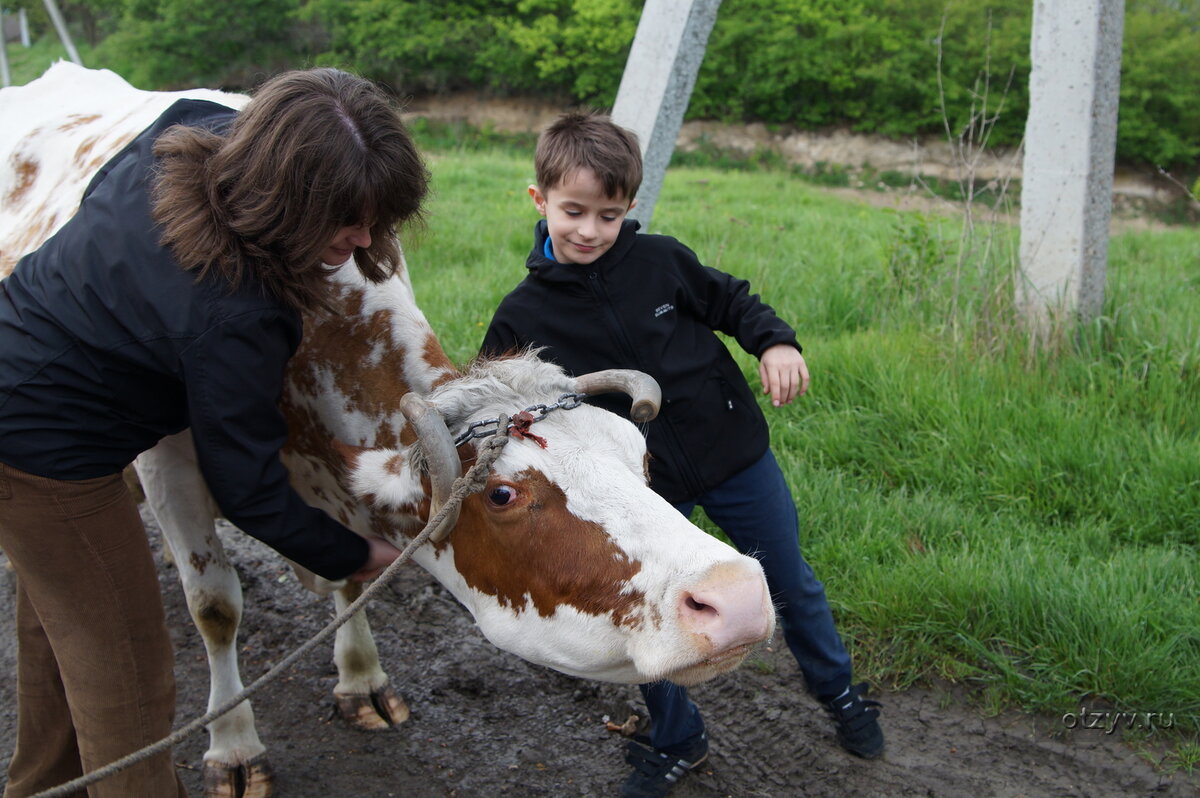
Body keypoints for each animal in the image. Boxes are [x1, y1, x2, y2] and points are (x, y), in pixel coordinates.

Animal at [0, 63, 777, 796]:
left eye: (641, 460)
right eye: (501, 495)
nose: (737, 595)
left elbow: (348, 574)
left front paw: (361, 678)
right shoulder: (170, 465)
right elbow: (216, 607)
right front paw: (234, 747)